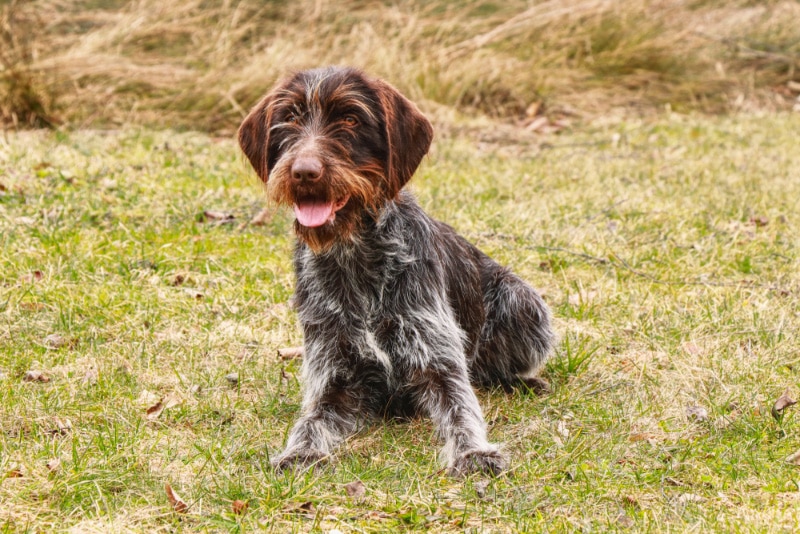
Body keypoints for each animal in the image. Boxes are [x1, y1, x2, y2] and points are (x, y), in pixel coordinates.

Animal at [234, 67, 552, 478]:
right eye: (289, 117)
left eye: (351, 119)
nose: (304, 172)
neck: (355, 255)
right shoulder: (335, 374)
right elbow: (311, 420)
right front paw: (300, 452)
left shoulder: (436, 359)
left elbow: (460, 408)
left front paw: (473, 452)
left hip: (524, 304)